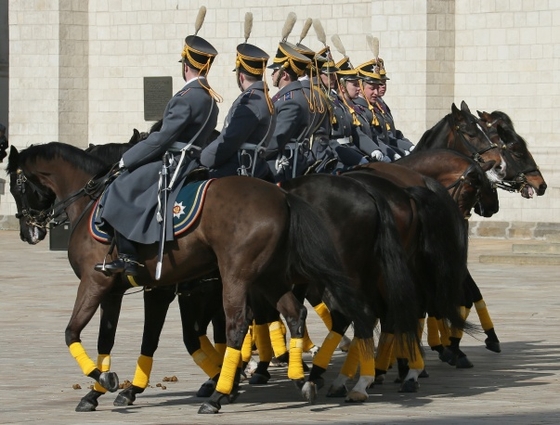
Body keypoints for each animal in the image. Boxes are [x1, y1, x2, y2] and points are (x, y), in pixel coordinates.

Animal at [7, 141, 372, 412]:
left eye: (15, 185)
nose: (28, 231)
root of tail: (282, 196)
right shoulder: (121, 290)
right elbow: (108, 340)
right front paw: (100, 389)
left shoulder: (98, 284)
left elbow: (72, 332)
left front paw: (108, 381)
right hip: (269, 278)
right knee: (299, 315)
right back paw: (303, 378)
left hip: (240, 277)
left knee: (241, 325)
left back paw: (223, 395)